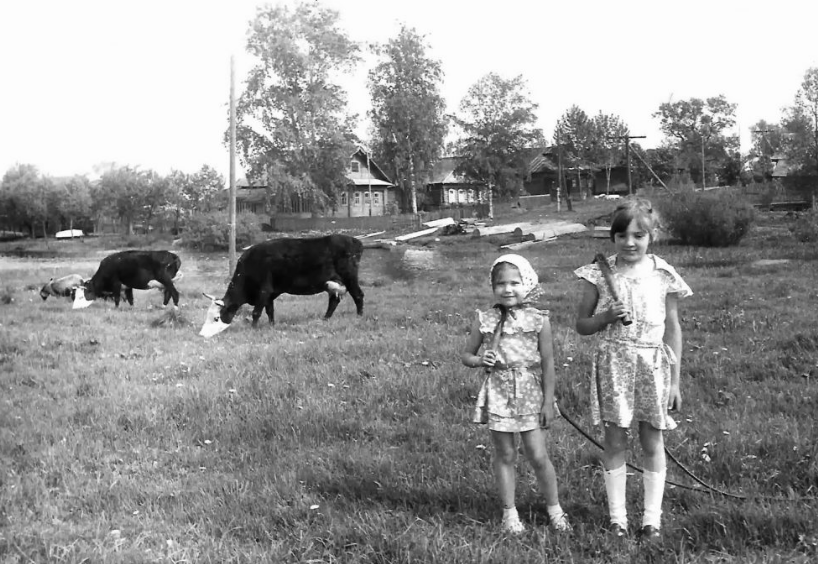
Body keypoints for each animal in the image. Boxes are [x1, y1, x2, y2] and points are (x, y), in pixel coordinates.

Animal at [201, 232, 364, 334]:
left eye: (216, 317)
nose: (203, 333)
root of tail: (355, 241)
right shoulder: (270, 293)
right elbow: (270, 311)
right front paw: (271, 326)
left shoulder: (264, 290)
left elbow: (256, 312)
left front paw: (253, 329)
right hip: (334, 282)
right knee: (334, 300)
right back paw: (325, 319)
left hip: (350, 277)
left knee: (358, 295)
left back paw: (359, 317)